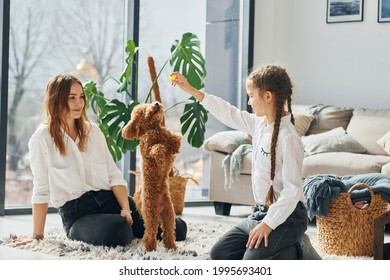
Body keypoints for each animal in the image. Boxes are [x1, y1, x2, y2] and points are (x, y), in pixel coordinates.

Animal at [121, 101, 182, 250]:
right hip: (151, 214)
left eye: (148, 104)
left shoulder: (170, 144)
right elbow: (156, 148)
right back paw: (150, 248)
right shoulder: (148, 148)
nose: (156, 103)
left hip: (169, 214)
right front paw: (160, 157)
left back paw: (172, 247)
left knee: (168, 233)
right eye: (144, 111)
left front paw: (173, 138)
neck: (154, 129)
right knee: (149, 233)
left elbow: (174, 140)